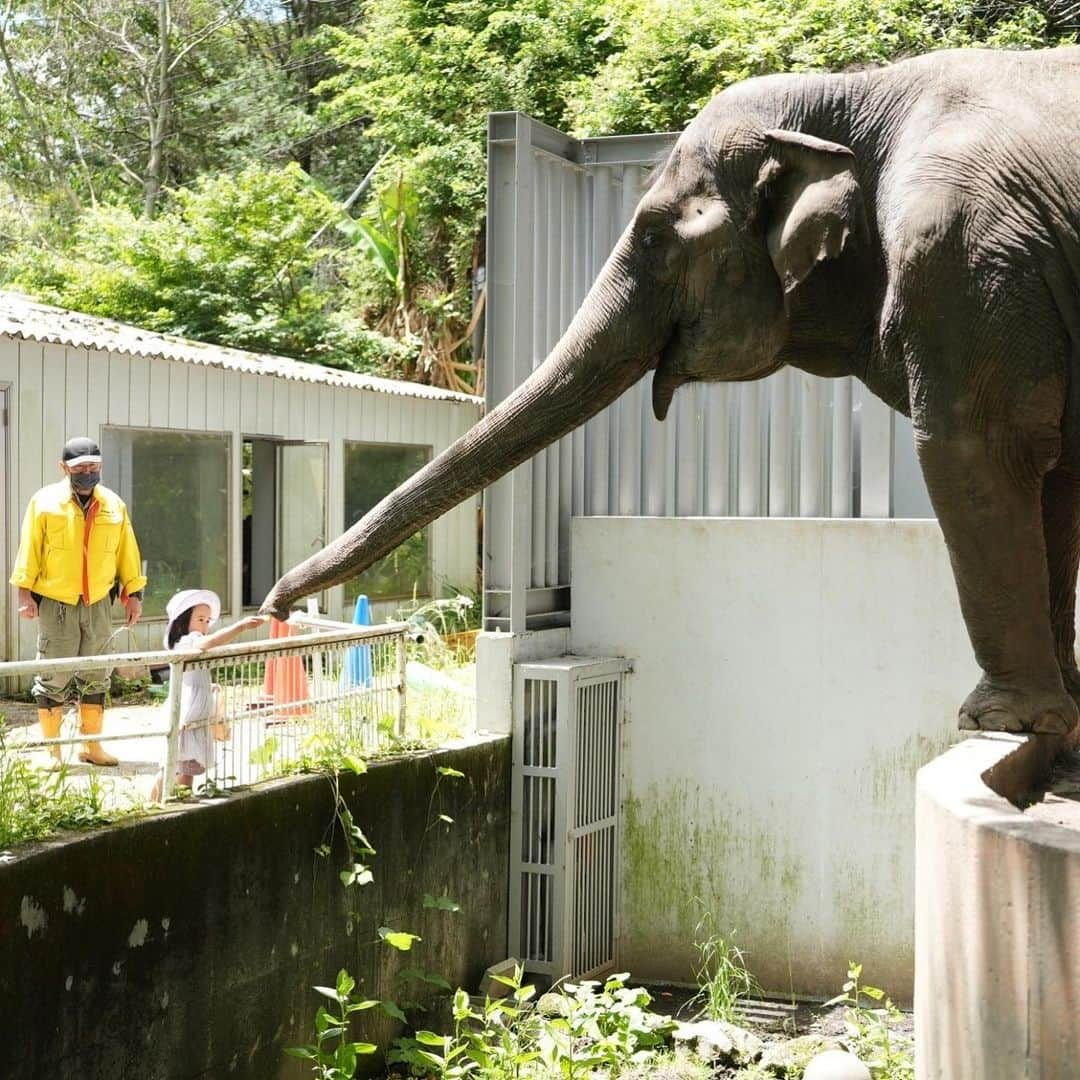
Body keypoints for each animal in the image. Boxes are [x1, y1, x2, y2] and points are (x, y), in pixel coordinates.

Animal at [265, 42, 1080, 734]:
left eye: (655, 237)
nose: (276, 606)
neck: (855, 89)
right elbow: (1051, 477)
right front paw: (1060, 722)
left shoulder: (962, 254)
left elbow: (975, 449)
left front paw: (1001, 723)